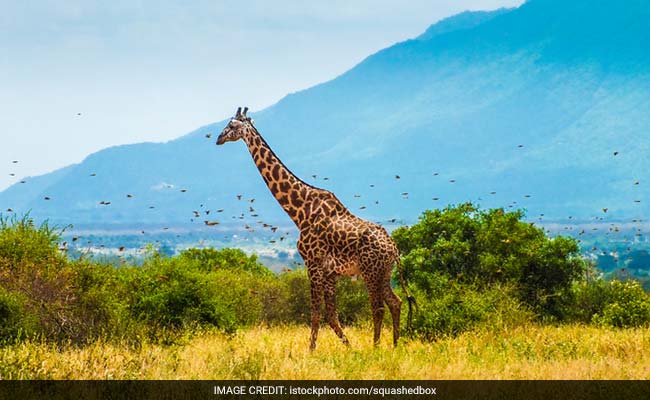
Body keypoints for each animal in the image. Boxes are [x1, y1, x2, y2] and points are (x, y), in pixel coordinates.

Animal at [215, 107, 412, 350]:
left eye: (232, 125)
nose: (218, 138)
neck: (300, 212)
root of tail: (394, 249)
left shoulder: (313, 264)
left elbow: (316, 313)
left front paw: (311, 351)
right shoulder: (330, 272)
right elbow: (331, 315)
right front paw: (348, 347)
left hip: (370, 271)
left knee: (378, 307)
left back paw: (375, 348)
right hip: (384, 272)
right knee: (396, 302)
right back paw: (395, 345)